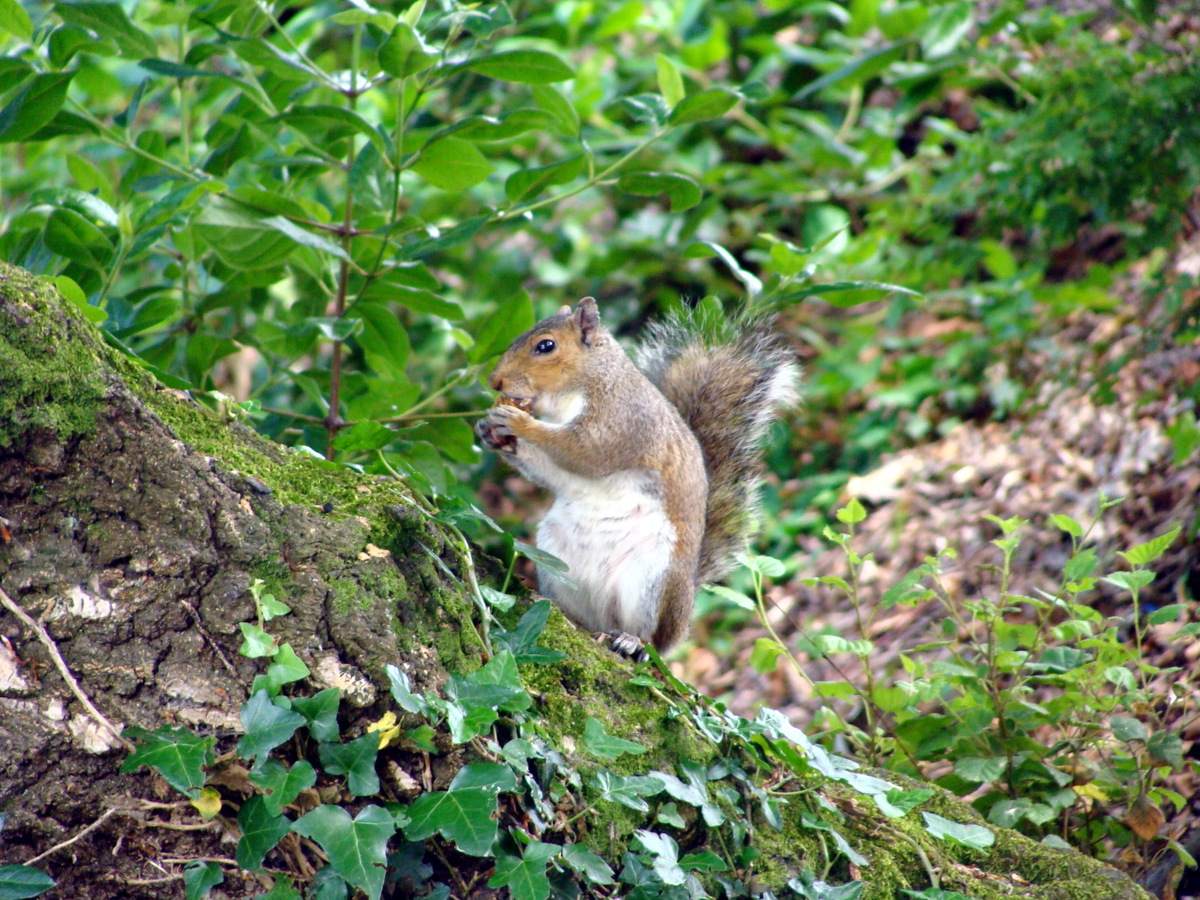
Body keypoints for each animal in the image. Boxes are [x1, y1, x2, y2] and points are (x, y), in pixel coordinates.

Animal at [475, 300, 796, 657]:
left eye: (546, 346)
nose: (494, 381)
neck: (588, 382)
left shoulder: (624, 421)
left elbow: (584, 451)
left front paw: (519, 423)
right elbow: (553, 472)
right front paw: (491, 433)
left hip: (653, 577)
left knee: (653, 638)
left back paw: (634, 641)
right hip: (555, 561)